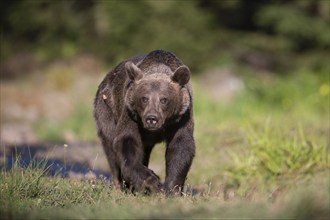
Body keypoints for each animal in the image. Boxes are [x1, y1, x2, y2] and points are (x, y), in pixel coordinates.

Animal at [93, 49, 195, 194]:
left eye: (164, 99)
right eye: (144, 98)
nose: (151, 119)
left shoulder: (182, 118)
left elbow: (181, 147)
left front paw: (172, 188)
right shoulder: (131, 114)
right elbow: (127, 143)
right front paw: (151, 182)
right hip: (106, 108)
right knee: (110, 148)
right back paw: (121, 185)